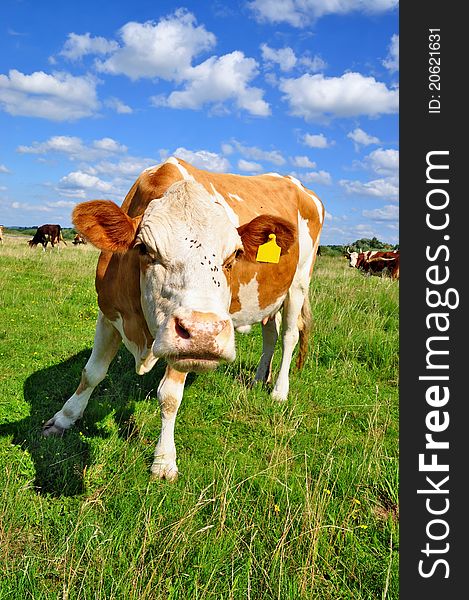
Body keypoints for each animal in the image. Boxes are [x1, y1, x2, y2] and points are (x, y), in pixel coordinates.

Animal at [42, 157, 324, 480]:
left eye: (234, 255)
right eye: (144, 249)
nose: (205, 331)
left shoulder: (186, 349)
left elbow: (169, 396)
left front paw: (164, 459)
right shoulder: (108, 313)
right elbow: (92, 373)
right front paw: (64, 419)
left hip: (299, 284)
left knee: (289, 335)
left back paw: (278, 391)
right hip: (269, 296)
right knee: (271, 334)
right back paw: (256, 379)